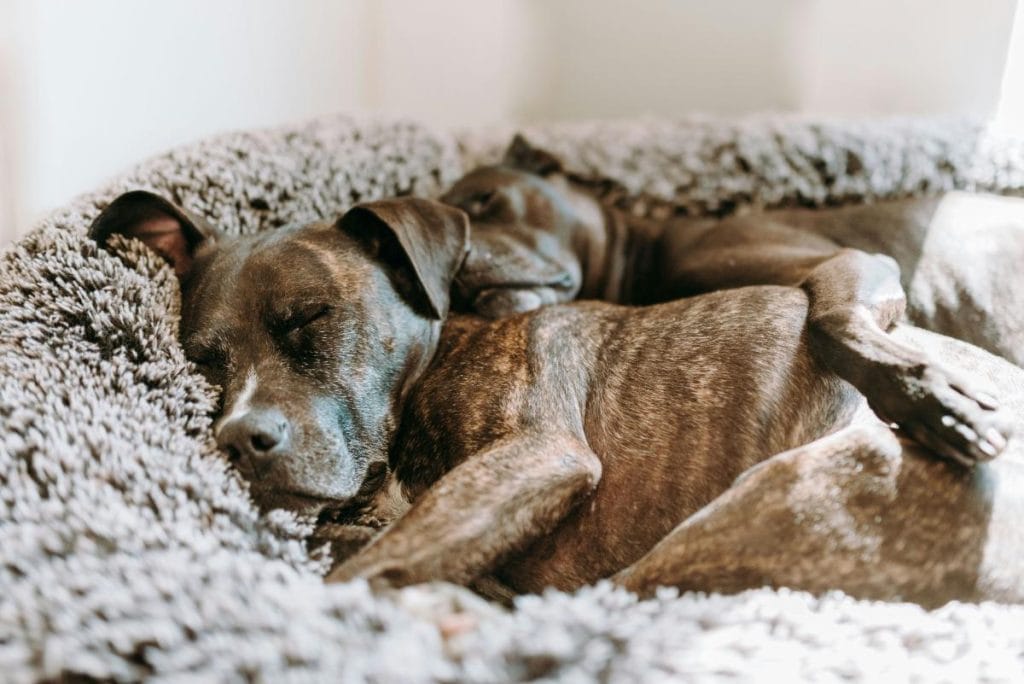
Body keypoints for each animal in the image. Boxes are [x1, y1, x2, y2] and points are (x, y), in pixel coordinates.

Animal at [90, 192, 1024, 602]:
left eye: (311, 320)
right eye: (204, 362)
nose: (239, 439)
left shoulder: (534, 457)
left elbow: (369, 566)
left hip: (754, 509)